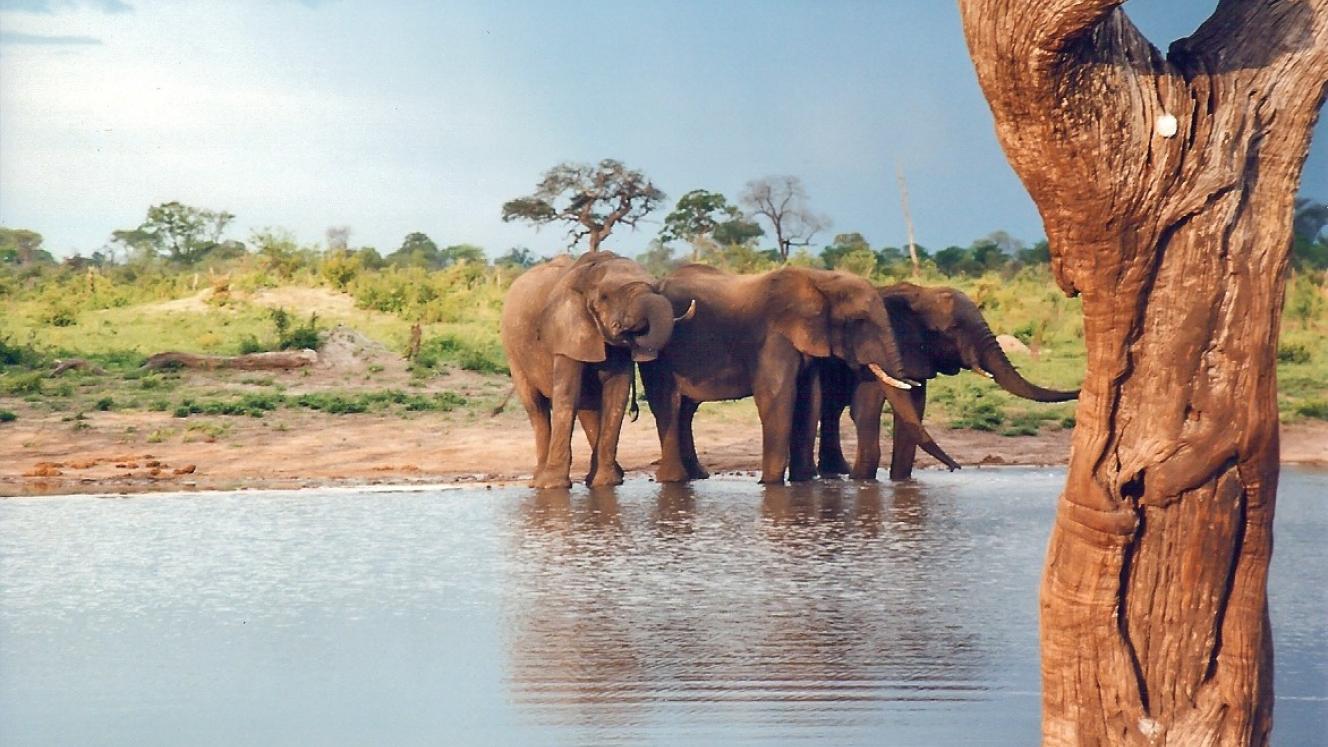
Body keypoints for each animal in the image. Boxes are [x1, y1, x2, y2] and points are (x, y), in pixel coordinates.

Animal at [500, 251, 695, 489]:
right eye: (605, 297)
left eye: (656, 289)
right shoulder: (566, 332)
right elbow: (567, 394)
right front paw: (554, 486)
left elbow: (616, 393)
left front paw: (606, 483)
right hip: (513, 352)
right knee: (536, 407)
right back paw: (539, 481)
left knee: (588, 406)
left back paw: (602, 476)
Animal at [639, 265, 958, 485]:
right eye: (859, 321)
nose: (957, 468)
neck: (820, 280)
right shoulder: (774, 337)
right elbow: (777, 397)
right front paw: (769, 484)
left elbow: (810, 399)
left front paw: (802, 482)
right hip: (658, 353)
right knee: (668, 405)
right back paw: (674, 480)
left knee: (685, 411)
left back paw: (695, 477)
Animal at [815, 281, 1080, 480]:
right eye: (953, 328)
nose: (955, 468)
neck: (920, 293)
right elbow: (869, 408)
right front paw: (863, 482)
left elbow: (913, 411)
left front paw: (901, 482)